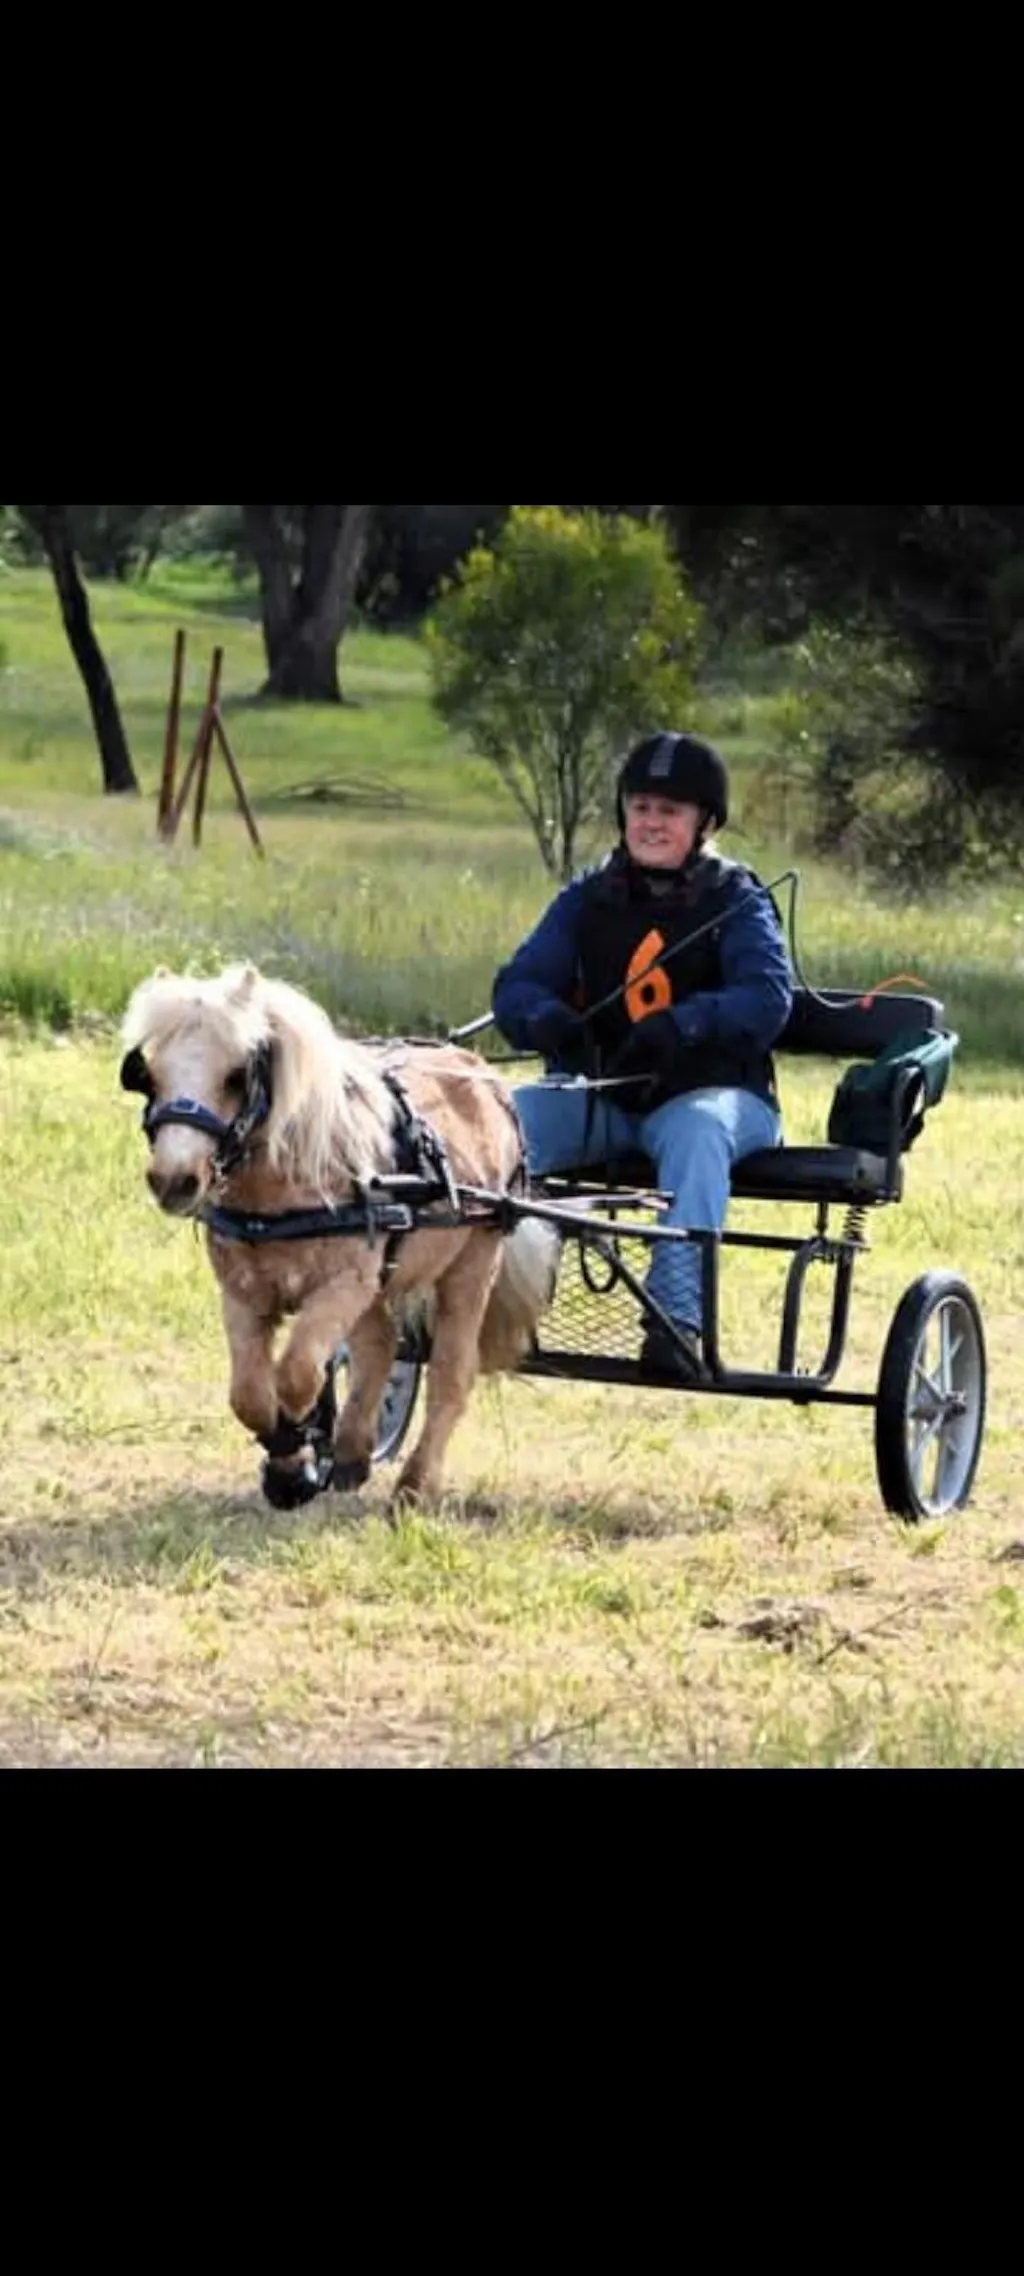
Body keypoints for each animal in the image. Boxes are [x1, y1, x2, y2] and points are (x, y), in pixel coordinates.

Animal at [120, 962, 560, 1508]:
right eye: (151, 1074)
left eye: (236, 1076)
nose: (174, 1180)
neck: (285, 1187)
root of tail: (484, 1077)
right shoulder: (243, 1294)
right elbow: (249, 1395)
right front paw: (288, 1466)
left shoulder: (341, 1286)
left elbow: (296, 1375)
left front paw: (296, 1451)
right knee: (381, 1344)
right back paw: (352, 1453)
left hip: (473, 1262)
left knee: (451, 1373)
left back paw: (415, 1485)